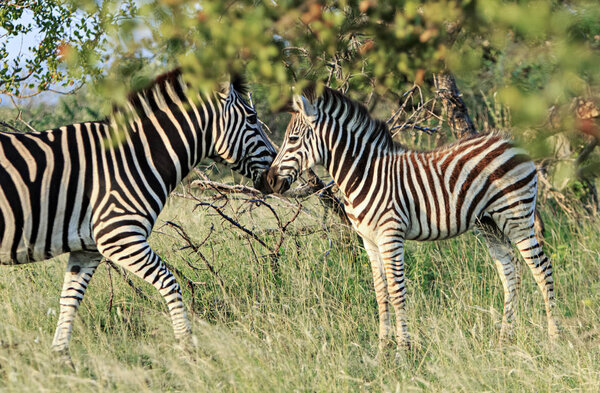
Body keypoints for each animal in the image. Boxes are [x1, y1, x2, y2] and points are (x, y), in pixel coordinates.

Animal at [0, 68, 276, 358]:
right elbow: (169, 282)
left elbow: (70, 298)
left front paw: (61, 358)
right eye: (252, 118)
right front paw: (188, 348)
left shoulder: (87, 248)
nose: (277, 177)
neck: (136, 157)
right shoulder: (119, 236)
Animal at [255, 88, 560, 350]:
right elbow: (381, 292)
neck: (363, 174)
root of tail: (511, 141)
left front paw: (403, 350)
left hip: (516, 215)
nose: (266, 181)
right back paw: (504, 339)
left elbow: (396, 290)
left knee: (542, 268)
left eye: (293, 140)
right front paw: (383, 349)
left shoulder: (391, 235)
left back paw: (554, 338)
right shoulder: (369, 240)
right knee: (510, 271)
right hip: (488, 223)